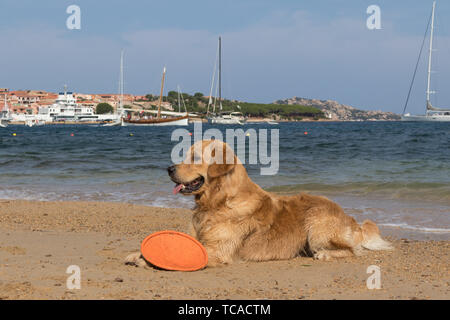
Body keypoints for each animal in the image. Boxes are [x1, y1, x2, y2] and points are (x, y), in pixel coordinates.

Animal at [125, 140, 392, 268]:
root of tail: (349, 216)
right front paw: (136, 253)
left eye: (195, 157)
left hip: (316, 226)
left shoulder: (218, 250)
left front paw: (145, 260)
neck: (218, 203)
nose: (168, 169)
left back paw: (325, 255)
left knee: (351, 251)